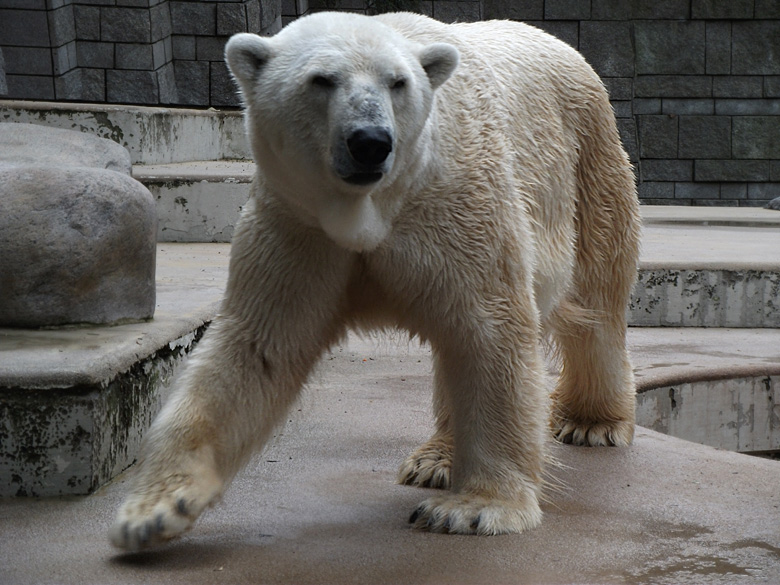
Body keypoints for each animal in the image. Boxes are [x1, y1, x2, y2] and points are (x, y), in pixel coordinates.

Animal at [112, 9, 644, 548]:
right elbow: (257, 349)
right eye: (321, 79)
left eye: (398, 82)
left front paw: (475, 508)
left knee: (597, 300)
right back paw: (436, 459)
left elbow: (491, 330)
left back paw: (590, 422)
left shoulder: (460, 209)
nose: (370, 142)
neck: (373, 209)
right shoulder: (298, 225)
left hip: (589, 164)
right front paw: (154, 510)